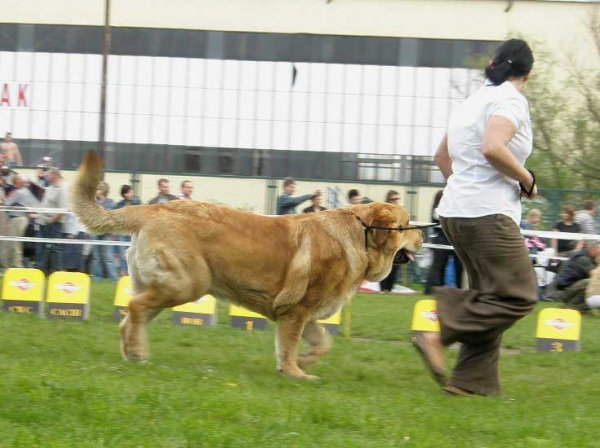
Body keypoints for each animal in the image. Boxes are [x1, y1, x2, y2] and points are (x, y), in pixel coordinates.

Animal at [71, 153, 422, 378]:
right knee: (135, 307)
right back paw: (139, 353)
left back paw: (132, 353)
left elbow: (323, 343)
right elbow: (289, 347)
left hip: (167, 287)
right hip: (187, 284)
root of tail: (150, 209)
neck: (360, 235)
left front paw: (304, 362)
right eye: (406, 225)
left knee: (131, 317)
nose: (422, 235)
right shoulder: (296, 312)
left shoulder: (305, 316)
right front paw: (295, 373)